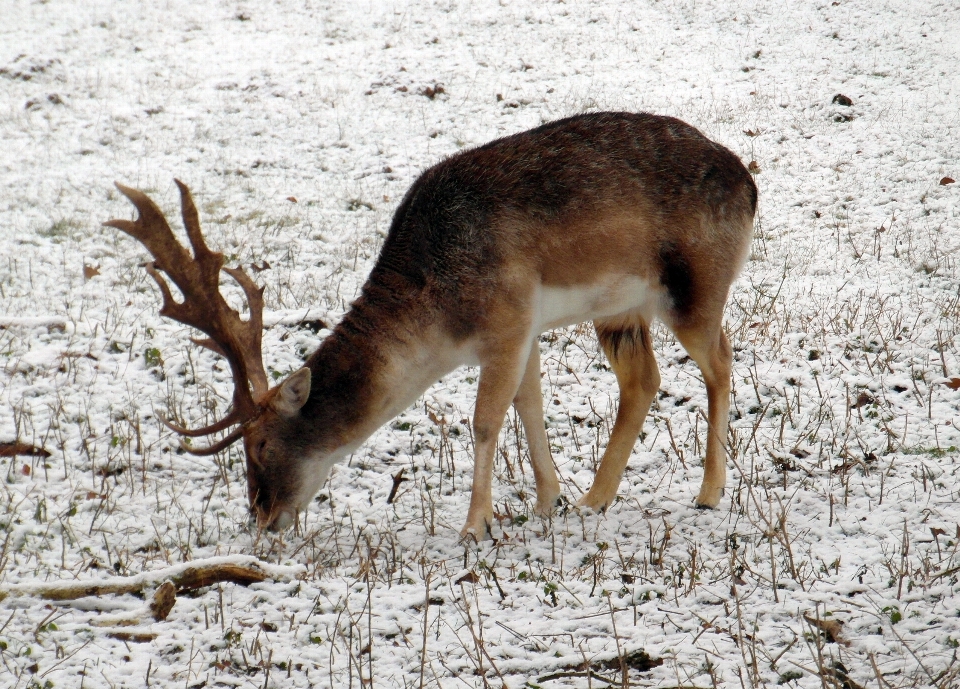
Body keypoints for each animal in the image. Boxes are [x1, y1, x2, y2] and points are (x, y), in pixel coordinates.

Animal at [109, 111, 756, 536]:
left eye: (260, 443)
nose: (263, 516)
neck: (442, 320)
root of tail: (751, 185)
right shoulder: (524, 330)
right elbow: (529, 407)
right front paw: (548, 503)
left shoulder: (507, 317)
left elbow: (485, 421)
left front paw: (474, 526)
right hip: (620, 310)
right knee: (644, 379)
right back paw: (595, 500)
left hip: (696, 286)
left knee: (722, 359)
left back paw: (708, 493)